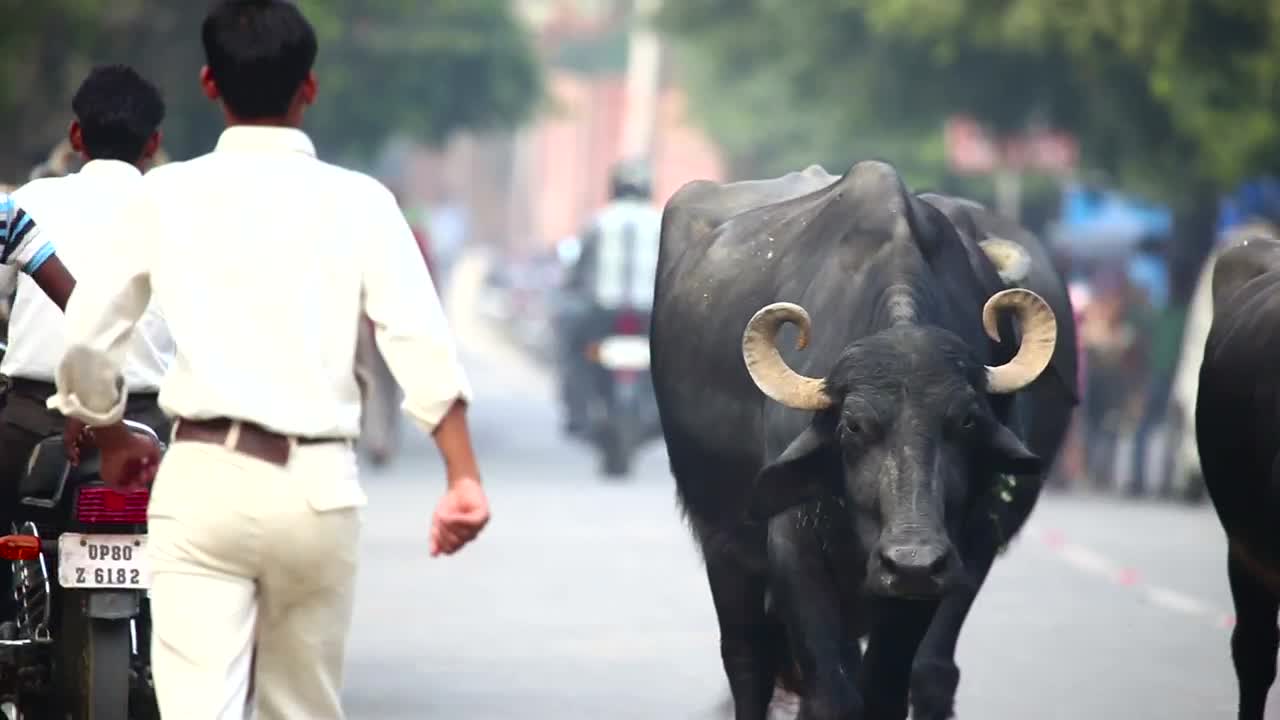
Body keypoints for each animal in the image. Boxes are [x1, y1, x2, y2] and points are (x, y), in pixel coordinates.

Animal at [650, 160, 1078, 720]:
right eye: (852, 425)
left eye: (966, 421)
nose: (911, 558)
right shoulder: (793, 545)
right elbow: (830, 693)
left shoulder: (948, 556)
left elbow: (887, 688)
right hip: (723, 543)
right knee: (747, 662)